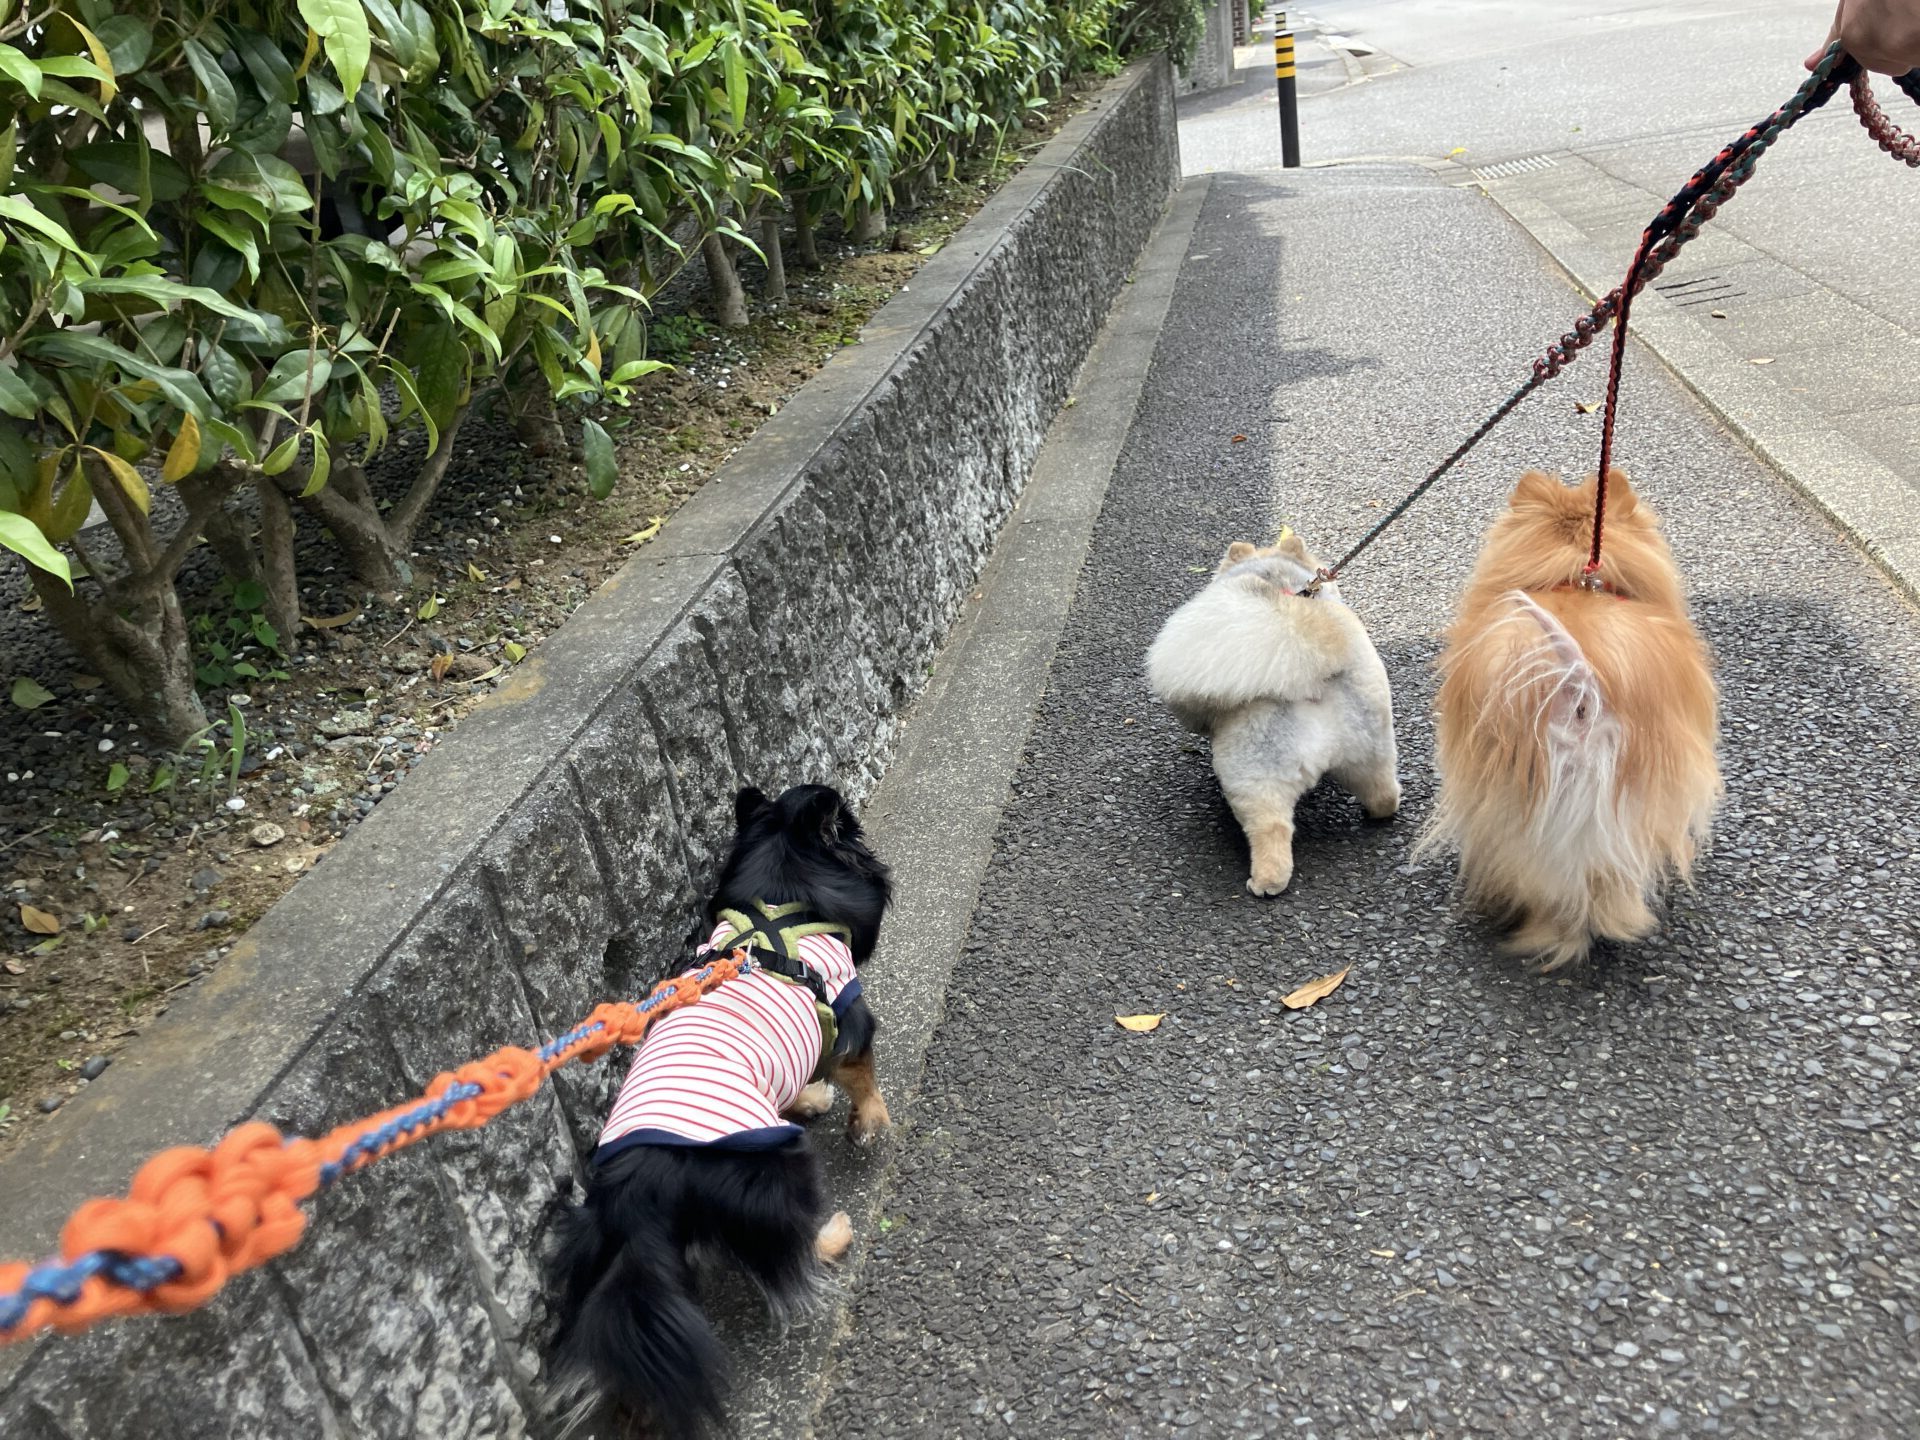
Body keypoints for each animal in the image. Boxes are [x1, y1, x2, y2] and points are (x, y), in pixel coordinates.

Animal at [546, 783, 892, 1437]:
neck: (780, 905)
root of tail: (638, 1193)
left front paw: (809, 1098)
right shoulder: (848, 1013)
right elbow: (862, 1077)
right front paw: (870, 1124)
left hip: (604, 1258)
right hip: (777, 1171)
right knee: (788, 1254)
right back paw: (833, 1236)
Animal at [1146, 529, 1400, 895]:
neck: (1278, 579)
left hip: (1254, 769)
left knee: (1271, 827)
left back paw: (1264, 881)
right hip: (1370, 744)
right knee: (1382, 792)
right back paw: (1382, 808)